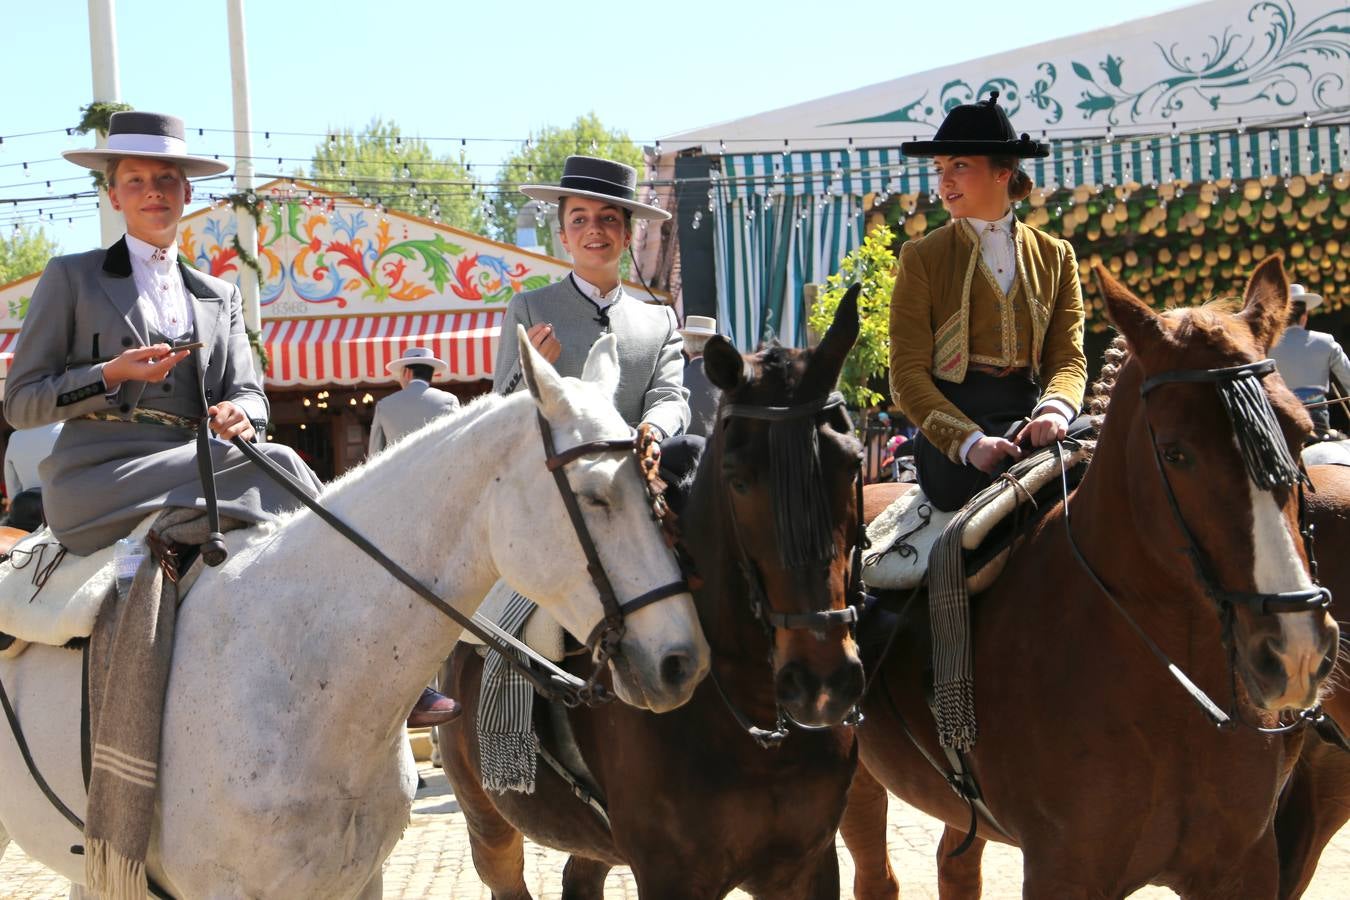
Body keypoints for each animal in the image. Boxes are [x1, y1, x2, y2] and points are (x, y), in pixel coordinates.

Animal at [437, 292, 869, 895]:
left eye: (851, 463)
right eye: (738, 479)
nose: (821, 683)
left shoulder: (809, 865)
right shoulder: (671, 875)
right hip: (489, 825)